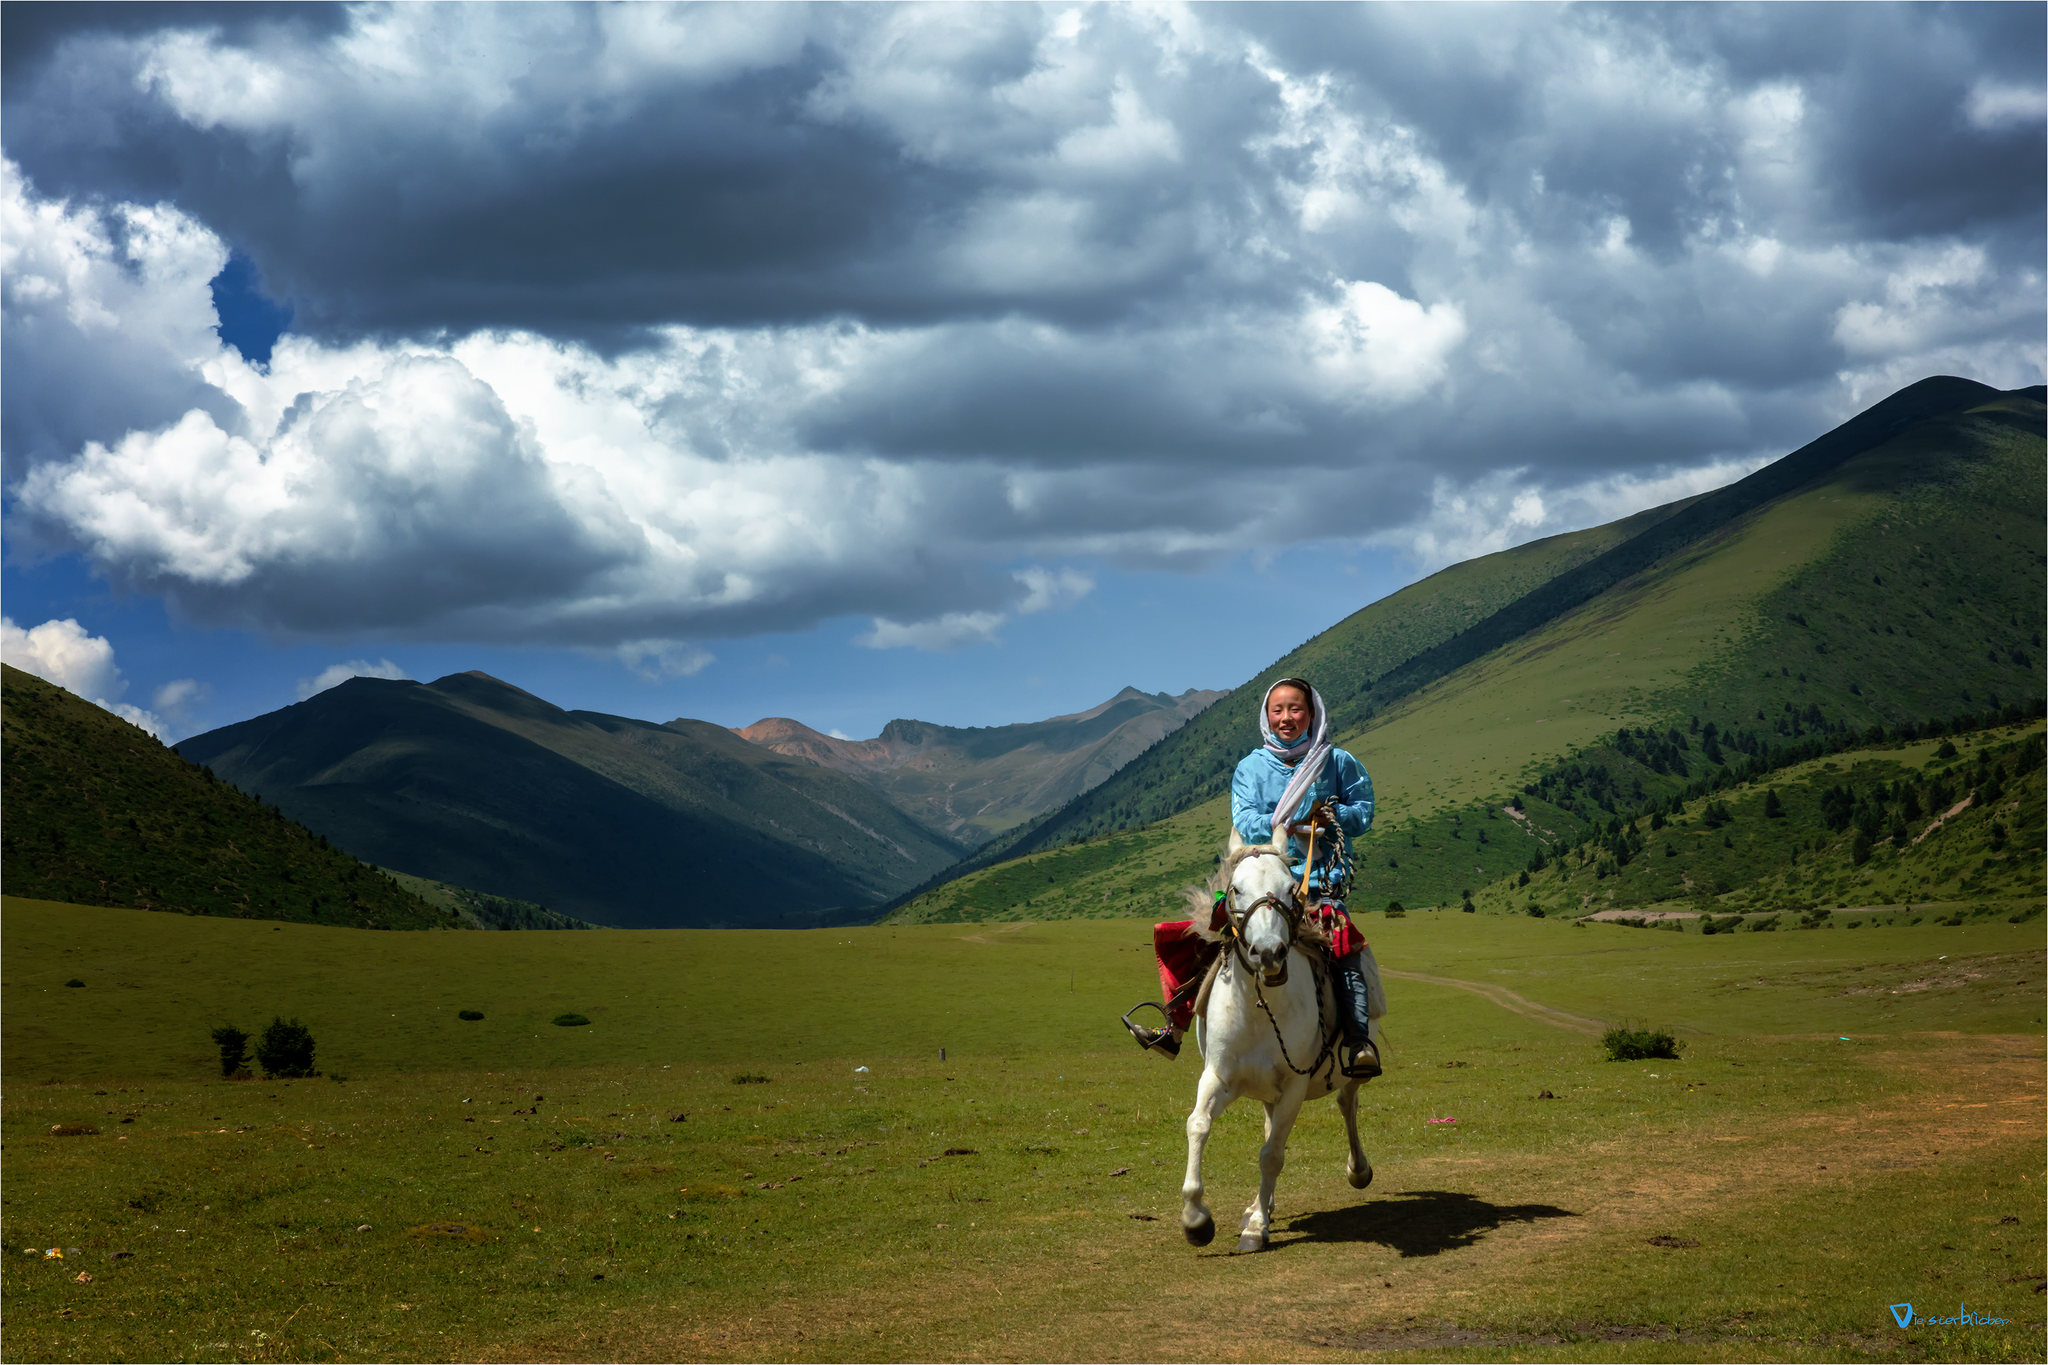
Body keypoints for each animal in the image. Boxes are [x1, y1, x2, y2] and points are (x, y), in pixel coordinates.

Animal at [1179, 847, 1384, 1252]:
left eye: (1291, 888)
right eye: (1236, 889)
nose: (1268, 952)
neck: (1259, 1007)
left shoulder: (1294, 1086)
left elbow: (1272, 1155)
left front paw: (1256, 1230)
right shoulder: (1219, 1077)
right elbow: (1199, 1124)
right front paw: (1196, 1220)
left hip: (1349, 1069)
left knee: (1347, 1102)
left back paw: (1358, 1170)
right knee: (1271, 1127)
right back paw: (1260, 1204)